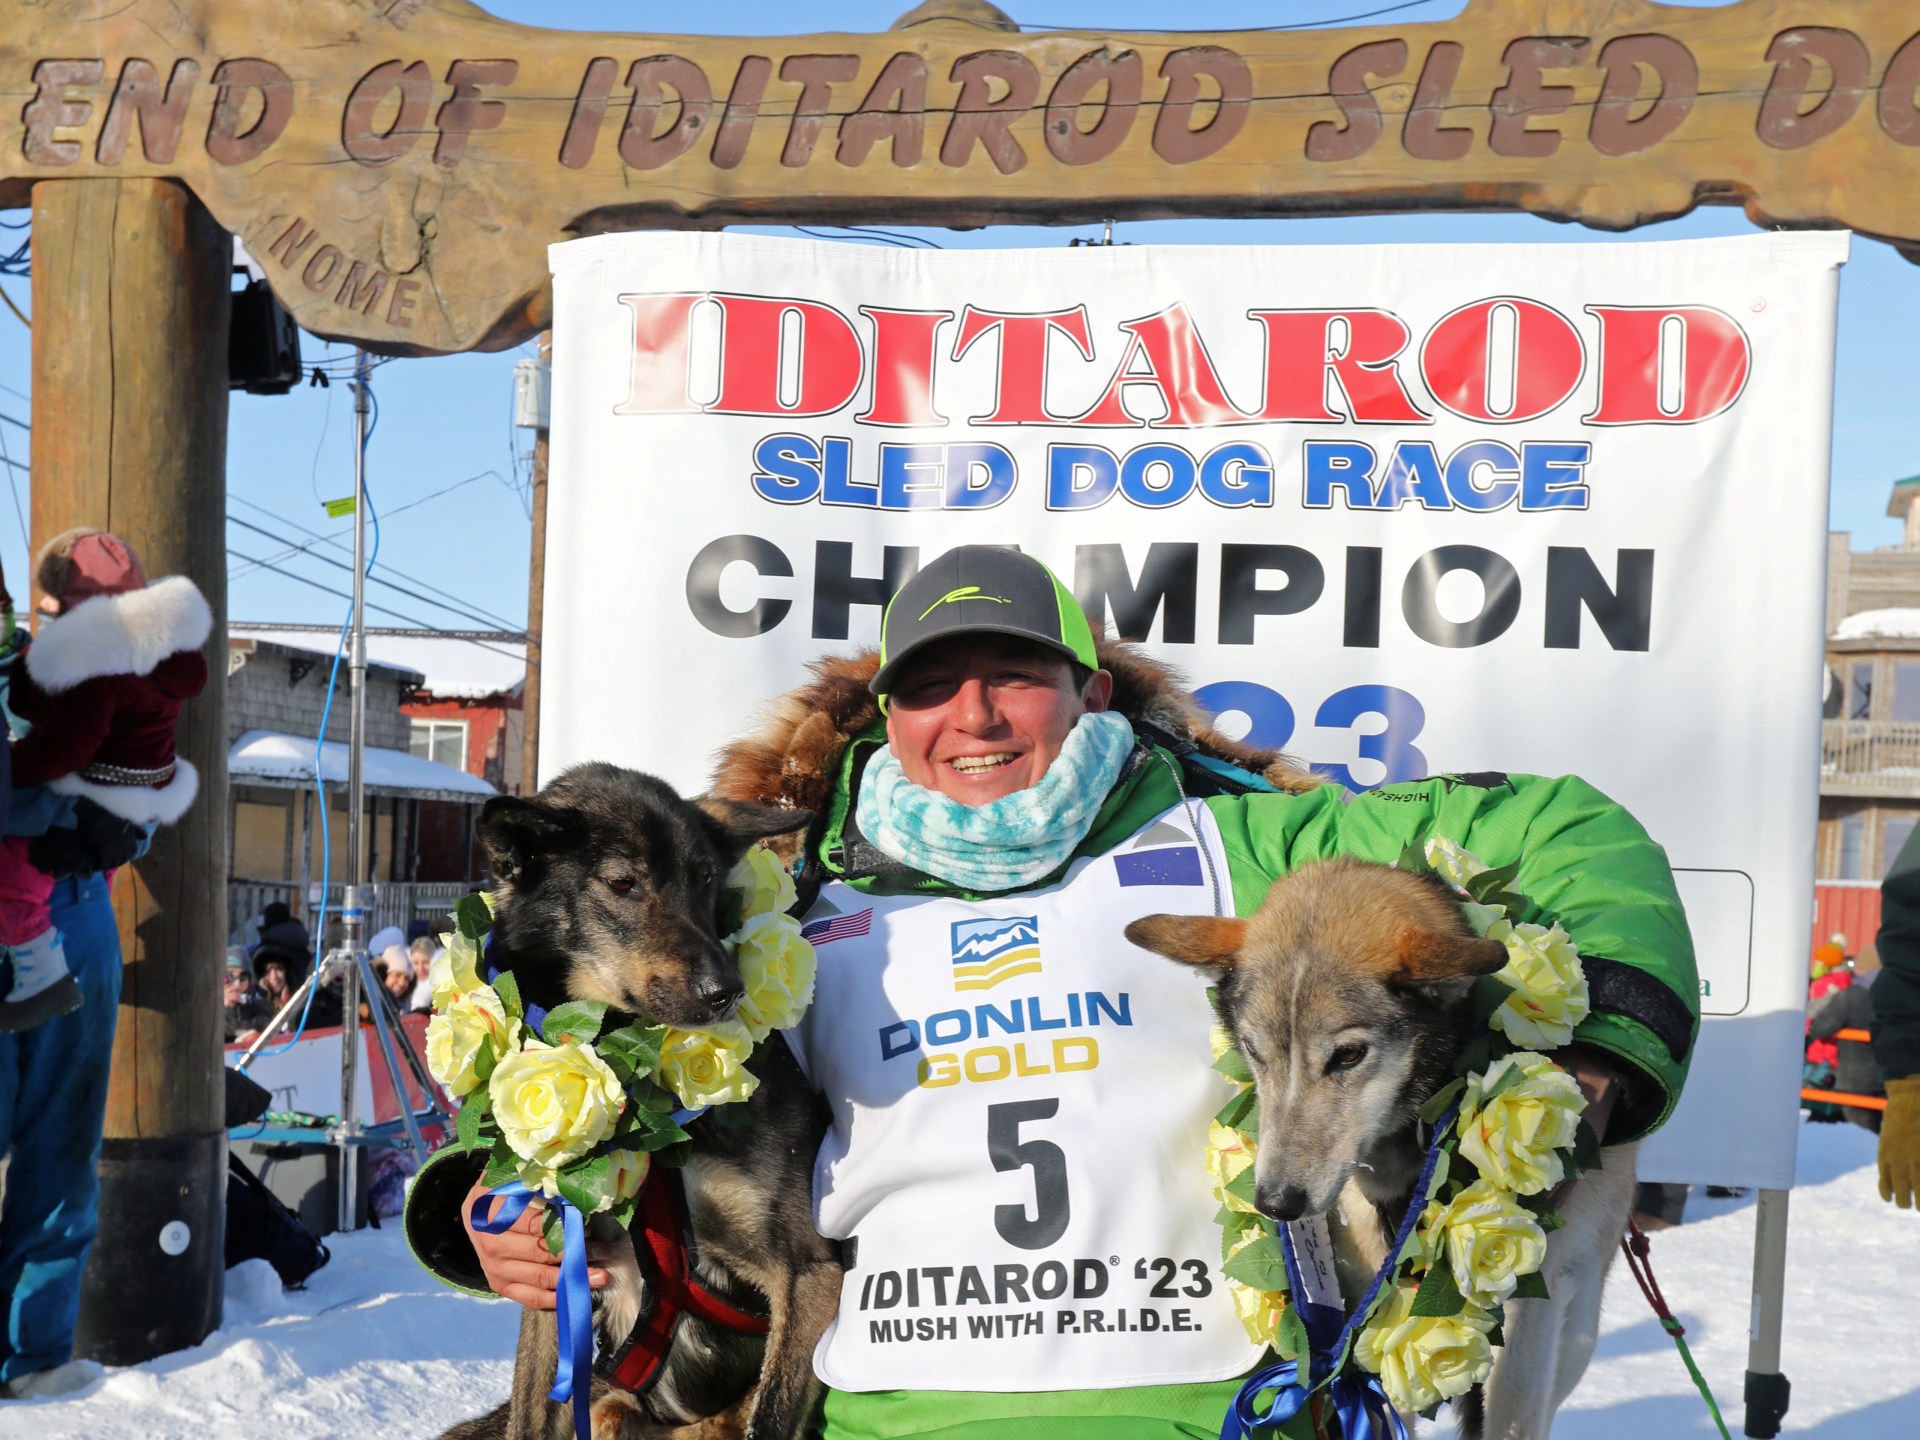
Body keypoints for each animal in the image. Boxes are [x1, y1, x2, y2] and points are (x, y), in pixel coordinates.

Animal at [445, 760, 844, 1436]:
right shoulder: (555, 1279)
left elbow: (769, 1419)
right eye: (623, 883)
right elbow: (529, 1415)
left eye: (705, 879)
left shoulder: (812, 1274)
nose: (727, 990)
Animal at [1128, 864, 1643, 1436]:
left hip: (1574, 1326)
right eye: (1254, 1052)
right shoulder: (1369, 1316)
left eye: (1349, 1054)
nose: (1276, 1203)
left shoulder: (1530, 1308)